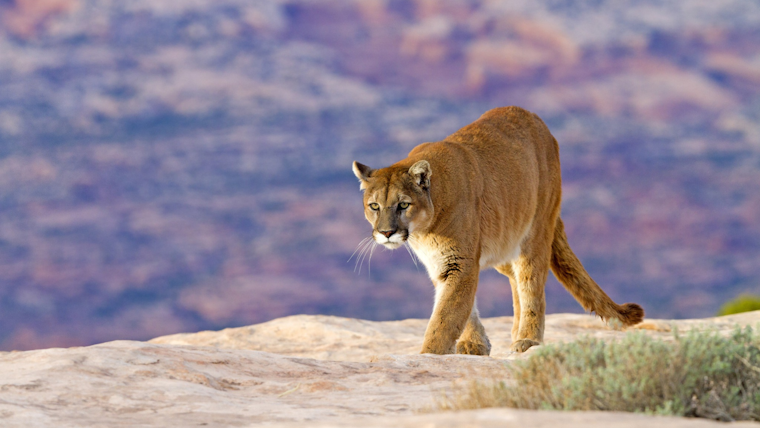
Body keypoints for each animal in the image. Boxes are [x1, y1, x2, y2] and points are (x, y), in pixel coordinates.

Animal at [352, 106, 644, 354]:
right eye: (374, 206)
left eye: (403, 204)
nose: (386, 233)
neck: (425, 229)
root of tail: (537, 120)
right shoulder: (444, 263)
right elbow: (462, 307)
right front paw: (475, 343)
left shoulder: (460, 261)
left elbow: (446, 315)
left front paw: (430, 354)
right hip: (503, 241)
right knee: (515, 279)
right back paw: (515, 332)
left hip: (535, 231)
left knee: (531, 283)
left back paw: (527, 339)